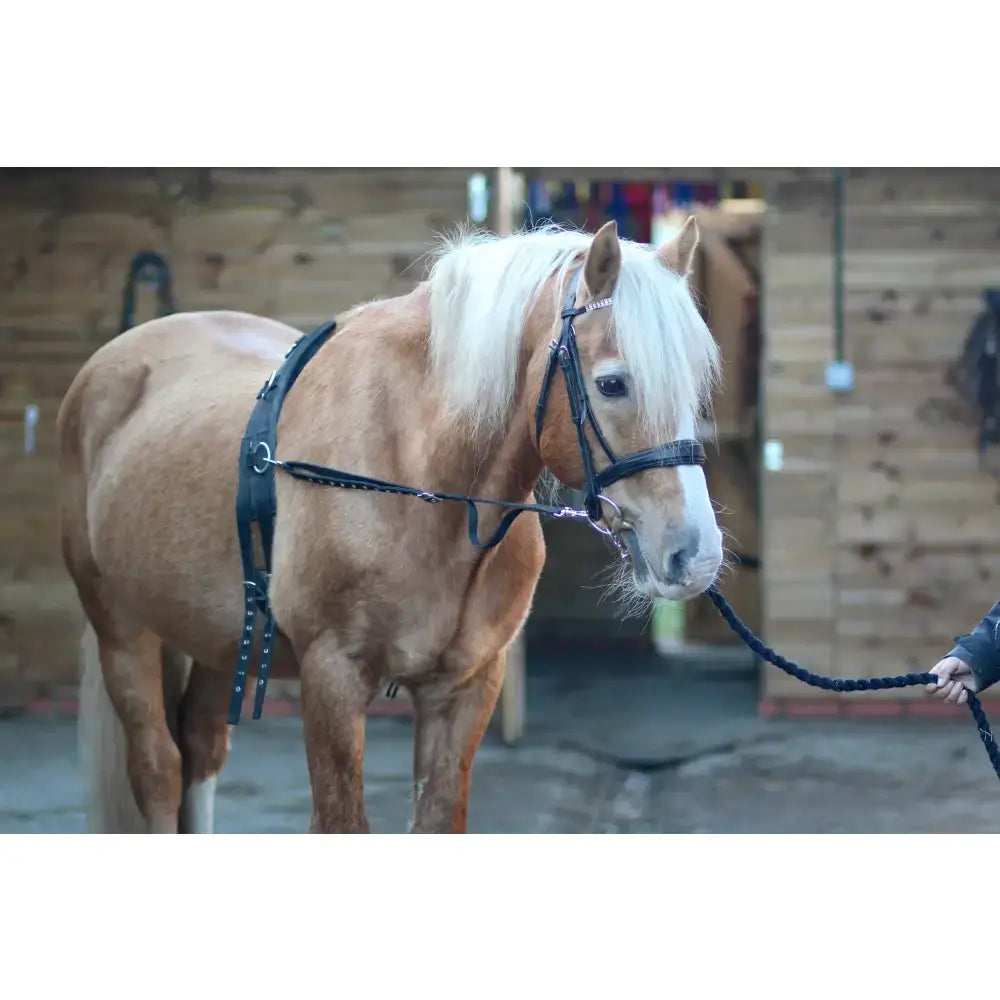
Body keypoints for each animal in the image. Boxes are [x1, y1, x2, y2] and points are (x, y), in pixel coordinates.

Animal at [57, 218, 724, 834]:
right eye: (612, 383)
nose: (696, 555)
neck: (414, 481)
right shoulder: (332, 679)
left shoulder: (465, 689)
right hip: (122, 628)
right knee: (158, 769)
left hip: (221, 640)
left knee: (200, 751)